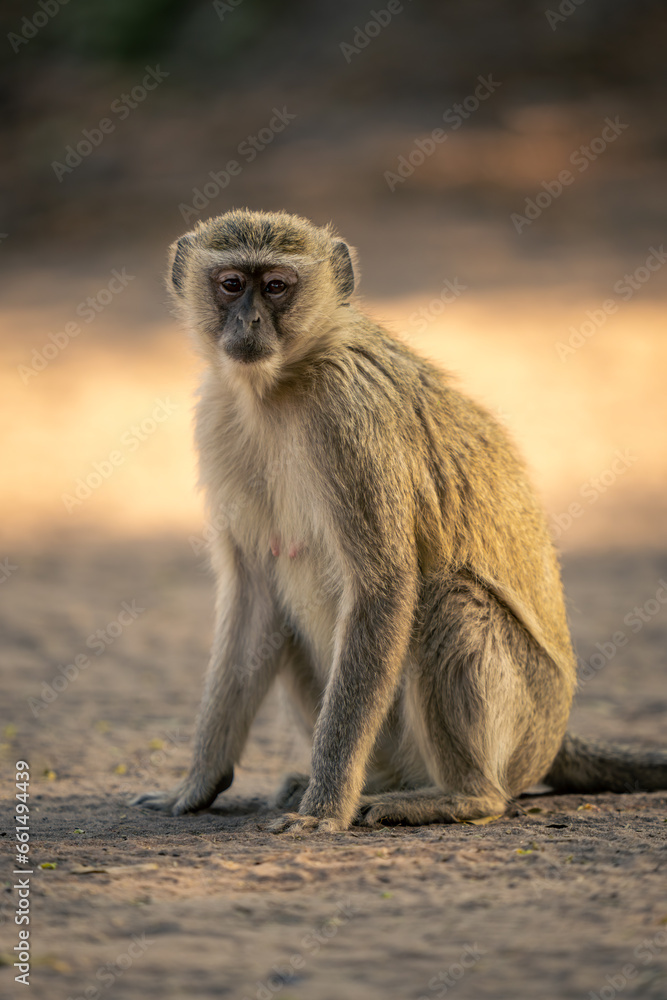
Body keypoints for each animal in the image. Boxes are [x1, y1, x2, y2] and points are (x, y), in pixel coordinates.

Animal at [131, 208, 667, 832]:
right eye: (232, 283)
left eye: (277, 286)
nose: (249, 322)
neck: (280, 386)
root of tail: (554, 738)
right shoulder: (219, 417)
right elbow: (256, 594)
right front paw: (197, 784)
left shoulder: (347, 416)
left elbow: (384, 587)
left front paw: (324, 808)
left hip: (523, 728)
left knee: (447, 600)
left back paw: (462, 796)